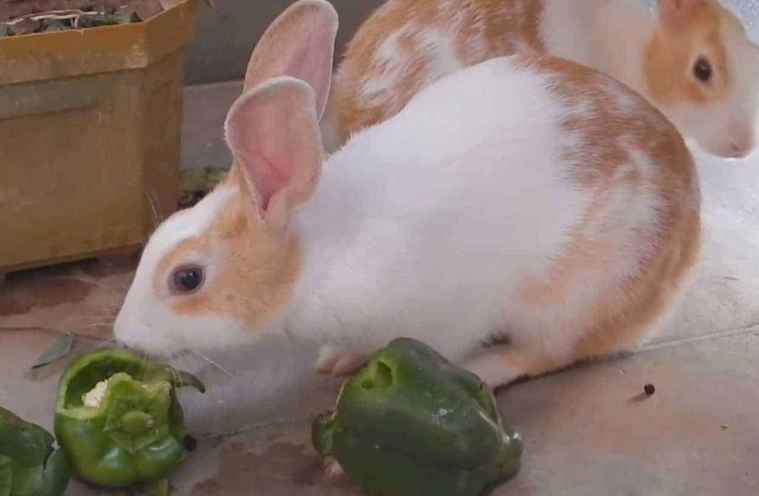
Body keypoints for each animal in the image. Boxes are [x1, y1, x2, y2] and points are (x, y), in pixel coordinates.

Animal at [114, 0, 701, 391]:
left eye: (186, 278)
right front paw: (337, 358)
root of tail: (686, 248)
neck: (317, 254)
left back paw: (486, 370)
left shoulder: (449, 317)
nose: (123, 336)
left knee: (547, 352)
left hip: (579, 297)